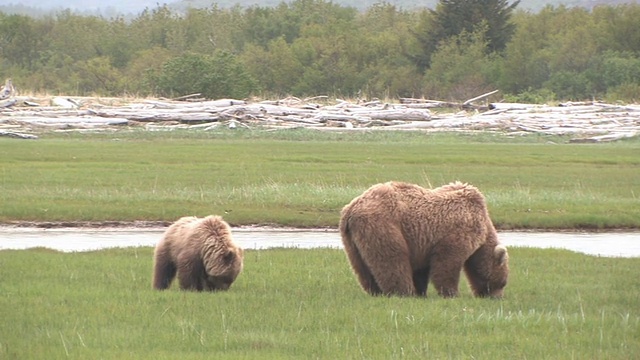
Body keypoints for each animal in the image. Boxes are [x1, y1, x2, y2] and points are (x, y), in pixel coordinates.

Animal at [340, 183, 510, 298]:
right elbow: (447, 263)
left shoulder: (423, 243)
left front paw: (421, 291)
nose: (497, 298)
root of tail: (352, 208)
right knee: (392, 260)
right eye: (502, 282)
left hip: (352, 240)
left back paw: (376, 291)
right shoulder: (460, 231)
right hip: (383, 225)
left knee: (362, 268)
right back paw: (403, 292)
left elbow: (421, 270)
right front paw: (451, 293)